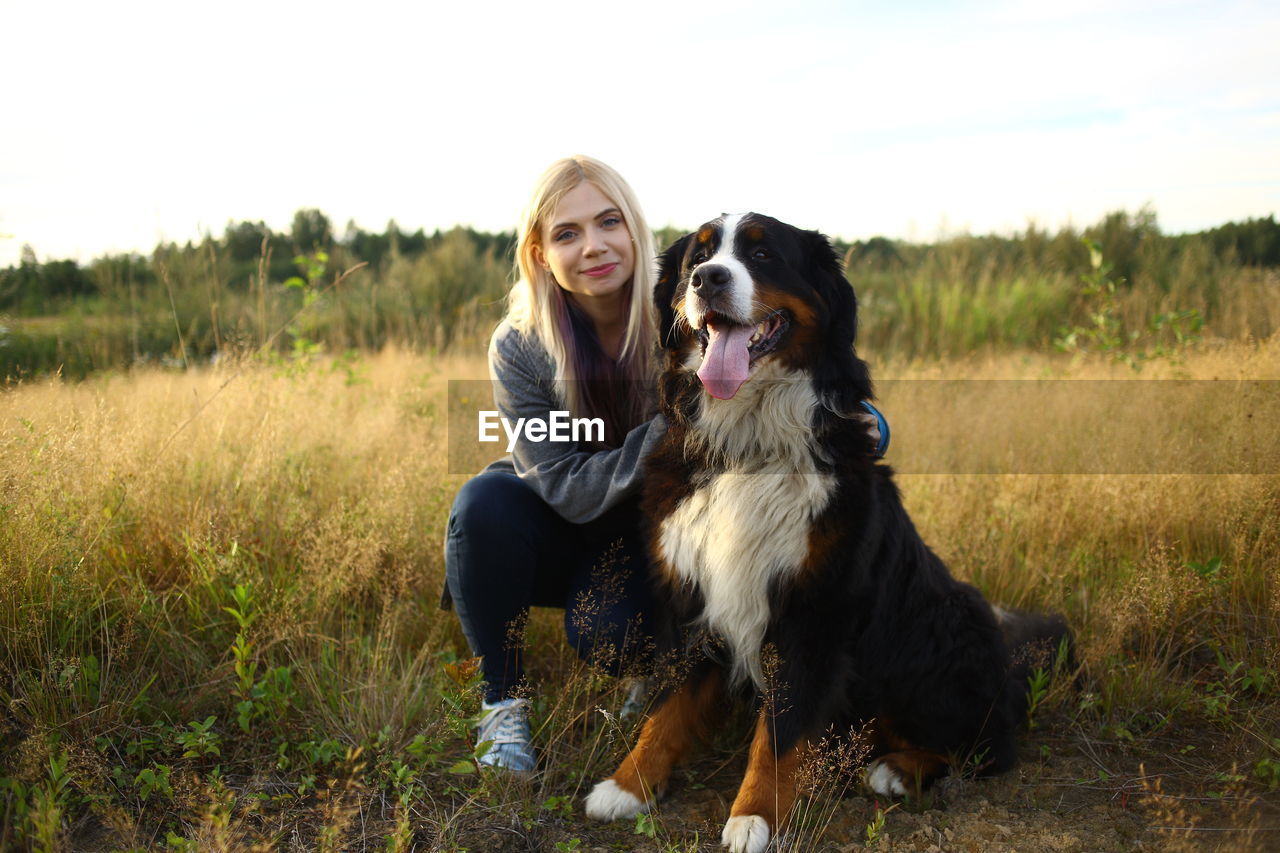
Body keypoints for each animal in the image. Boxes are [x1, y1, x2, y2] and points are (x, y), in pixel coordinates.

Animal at [586, 212, 1064, 850]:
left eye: (763, 254)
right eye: (696, 260)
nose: (708, 280)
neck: (750, 443)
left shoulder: (813, 611)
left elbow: (779, 733)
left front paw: (754, 818)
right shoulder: (690, 597)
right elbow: (666, 709)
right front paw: (628, 785)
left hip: (940, 629)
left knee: (987, 746)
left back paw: (895, 769)